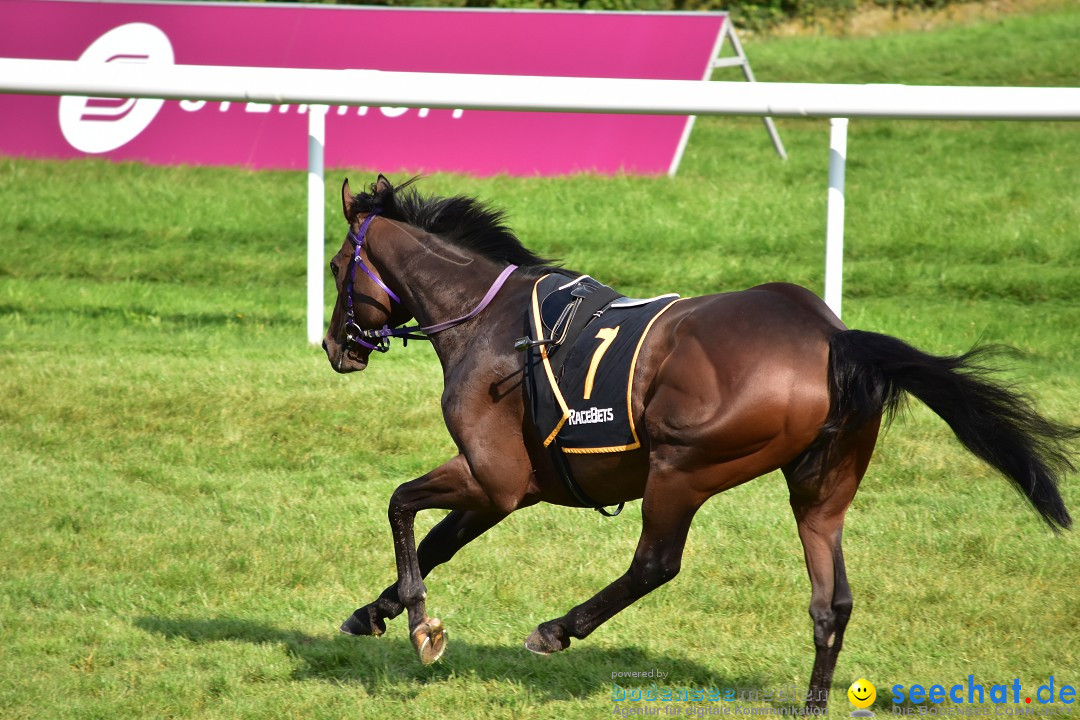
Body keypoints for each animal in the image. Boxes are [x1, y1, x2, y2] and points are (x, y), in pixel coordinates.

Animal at [317, 175, 1071, 716]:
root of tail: (833, 337)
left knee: (655, 563)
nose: (333, 347)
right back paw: (812, 703)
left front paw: (420, 626)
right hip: (820, 489)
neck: (488, 324)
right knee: (833, 601)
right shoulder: (515, 487)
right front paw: (373, 612)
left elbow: (401, 505)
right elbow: (437, 540)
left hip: (682, 468)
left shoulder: (494, 476)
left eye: (333, 265)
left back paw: (557, 630)